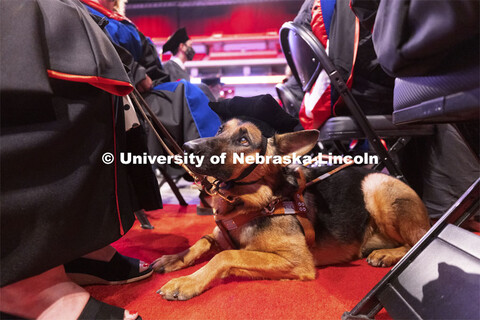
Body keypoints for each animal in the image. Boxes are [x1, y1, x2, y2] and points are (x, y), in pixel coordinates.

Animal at [152, 94, 430, 300]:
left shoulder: (297, 261)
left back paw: (389, 254)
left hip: (374, 185)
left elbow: (227, 255)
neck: (253, 202)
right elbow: (203, 241)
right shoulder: (220, 235)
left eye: (244, 140)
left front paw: (188, 282)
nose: (186, 148)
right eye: (220, 129)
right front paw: (175, 258)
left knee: (417, 239)